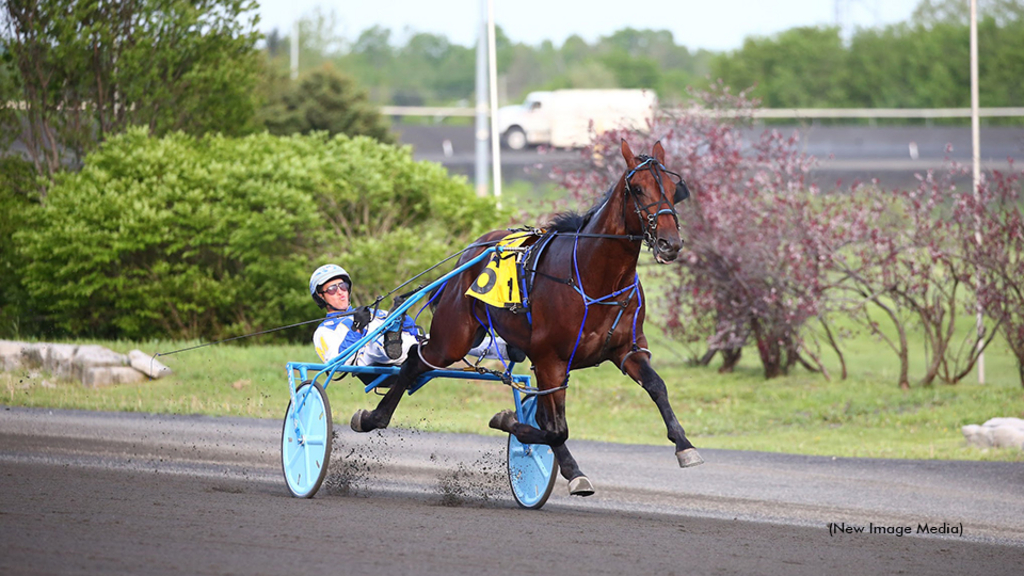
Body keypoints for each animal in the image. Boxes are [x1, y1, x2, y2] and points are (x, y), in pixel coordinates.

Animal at [352, 139, 704, 494]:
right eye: (638, 188)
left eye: (673, 188)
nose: (670, 243)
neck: (597, 279)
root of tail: (472, 251)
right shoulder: (550, 359)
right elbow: (556, 428)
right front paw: (509, 421)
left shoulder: (626, 349)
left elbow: (657, 386)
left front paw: (684, 446)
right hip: (452, 338)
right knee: (415, 359)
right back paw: (371, 418)